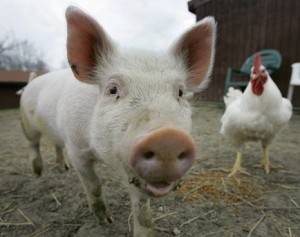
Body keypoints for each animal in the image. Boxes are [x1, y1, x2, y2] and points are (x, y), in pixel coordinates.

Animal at [20, 5, 216, 237]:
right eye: (112, 90)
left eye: (180, 92)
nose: (167, 138)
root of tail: (32, 81)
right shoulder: (76, 148)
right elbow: (93, 185)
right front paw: (106, 221)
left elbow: (142, 208)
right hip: (27, 123)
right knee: (33, 145)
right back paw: (38, 175)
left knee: (55, 146)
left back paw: (63, 169)